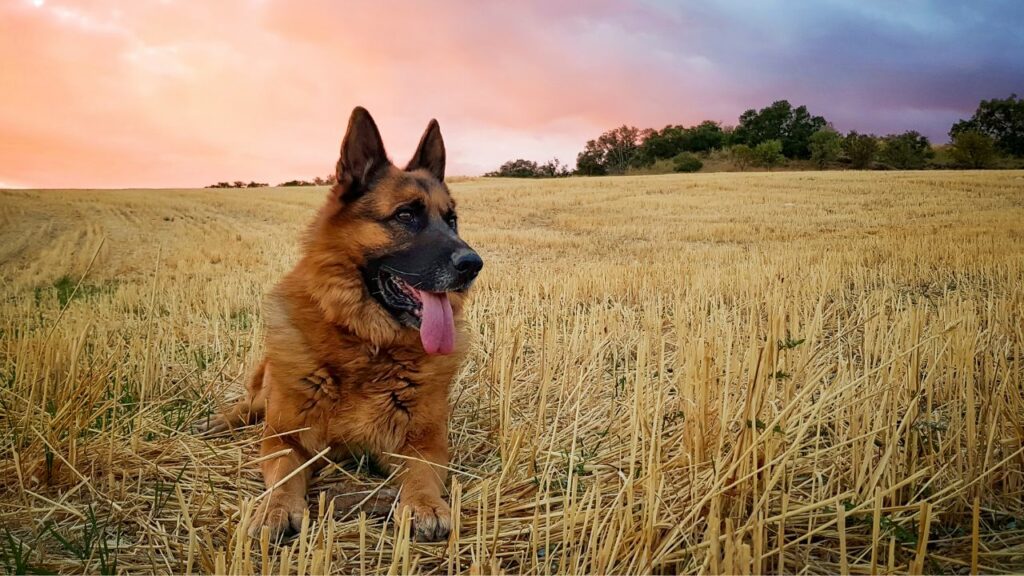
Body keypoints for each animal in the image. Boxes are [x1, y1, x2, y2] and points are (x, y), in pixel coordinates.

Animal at [201, 106, 485, 537]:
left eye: (451, 220)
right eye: (405, 215)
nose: (473, 265)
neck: (364, 345)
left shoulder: (424, 444)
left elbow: (420, 475)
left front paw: (425, 504)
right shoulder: (285, 440)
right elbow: (284, 476)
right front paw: (275, 509)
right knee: (251, 404)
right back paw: (225, 420)